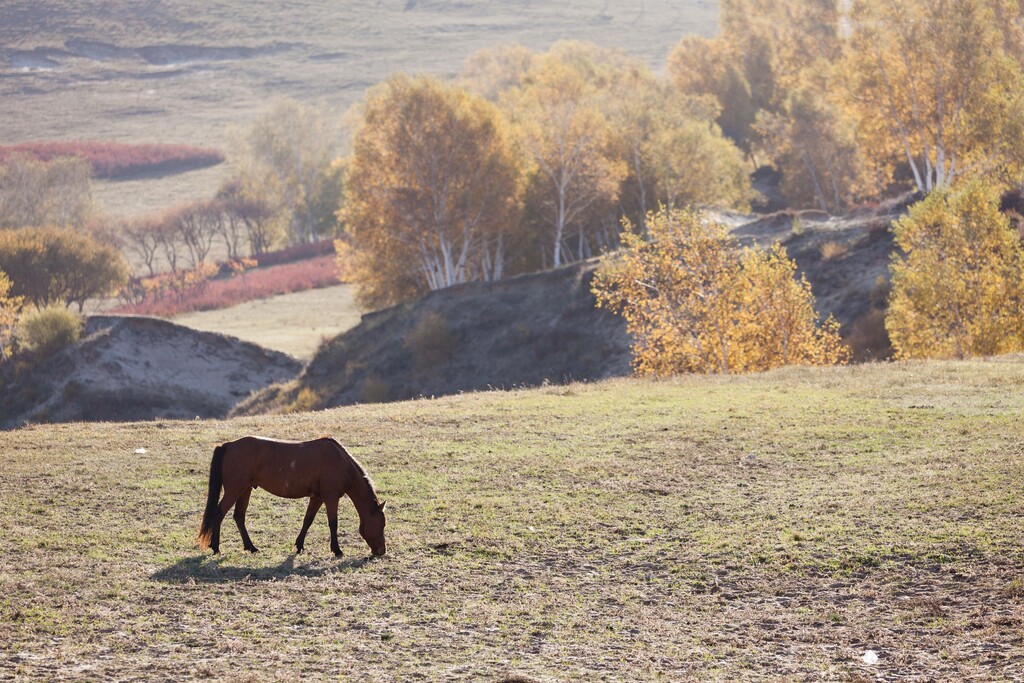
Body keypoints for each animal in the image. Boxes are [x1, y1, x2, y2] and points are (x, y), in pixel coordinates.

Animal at [196, 438, 387, 557]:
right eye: (382, 524)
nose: (381, 551)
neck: (340, 462)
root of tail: (227, 446)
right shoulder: (331, 497)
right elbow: (333, 523)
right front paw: (337, 550)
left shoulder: (317, 498)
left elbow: (307, 520)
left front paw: (299, 545)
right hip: (235, 490)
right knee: (219, 514)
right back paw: (215, 547)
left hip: (245, 490)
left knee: (239, 517)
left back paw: (251, 547)